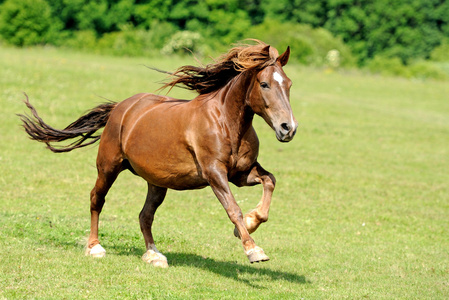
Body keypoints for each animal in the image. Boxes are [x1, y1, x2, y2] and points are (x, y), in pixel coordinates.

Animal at [18, 39, 298, 268]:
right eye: (264, 84)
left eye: (289, 84)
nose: (288, 128)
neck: (225, 122)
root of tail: (121, 107)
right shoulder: (214, 173)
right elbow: (233, 208)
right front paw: (253, 249)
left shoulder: (240, 174)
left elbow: (270, 181)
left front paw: (250, 223)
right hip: (108, 167)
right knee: (97, 199)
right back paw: (95, 247)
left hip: (157, 181)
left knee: (145, 215)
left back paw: (154, 255)